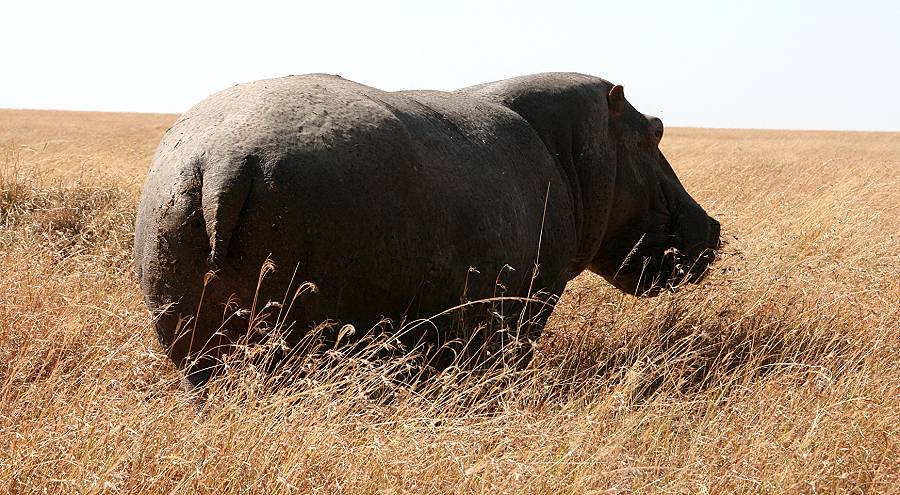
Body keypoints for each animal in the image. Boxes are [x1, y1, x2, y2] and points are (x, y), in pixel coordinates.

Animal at [134, 71, 720, 390]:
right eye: (655, 130)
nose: (713, 228)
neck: (574, 150)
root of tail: (227, 161)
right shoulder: (532, 300)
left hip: (190, 326)